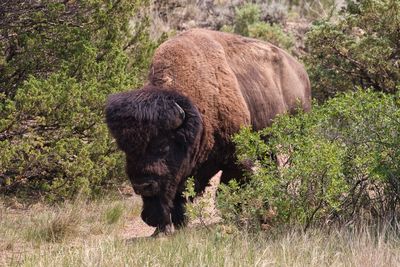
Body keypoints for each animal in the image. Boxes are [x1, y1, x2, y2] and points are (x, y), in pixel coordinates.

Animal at [104, 28, 310, 236]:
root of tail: (299, 69)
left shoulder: (236, 157)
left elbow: (230, 187)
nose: (142, 184)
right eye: (125, 148)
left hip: (298, 131)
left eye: (162, 146)